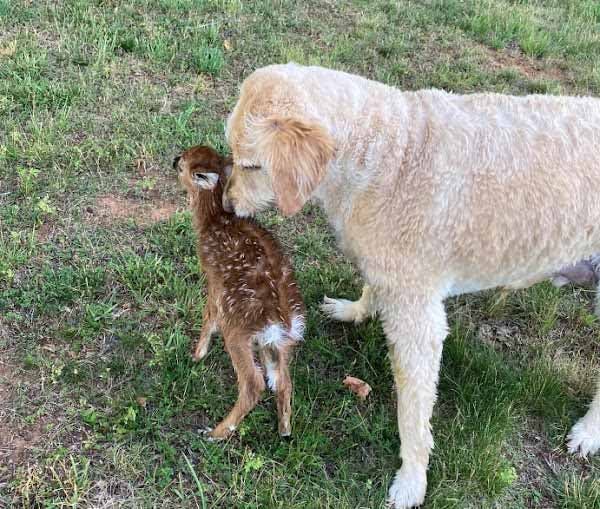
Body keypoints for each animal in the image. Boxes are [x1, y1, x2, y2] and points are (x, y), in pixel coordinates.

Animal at [220, 61, 600, 506]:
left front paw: (412, 479)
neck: (388, 154)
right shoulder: (387, 269)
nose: (226, 206)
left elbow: (413, 414)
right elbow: (372, 287)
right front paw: (355, 310)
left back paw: (589, 432)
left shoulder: (418, 320)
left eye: (251, 165)